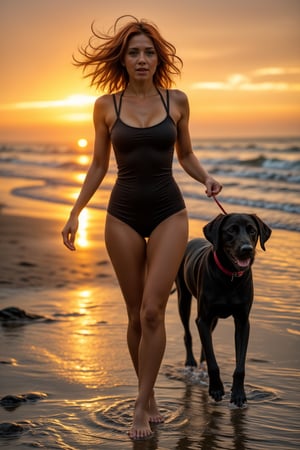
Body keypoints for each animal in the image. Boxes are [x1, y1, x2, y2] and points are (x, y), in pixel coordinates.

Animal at [176, 213, 272, 406]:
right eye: (231, 230)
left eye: (252, 230)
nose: (246, 249)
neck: (230, 277)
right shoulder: (203, 319)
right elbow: (213, 363)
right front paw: (216, 389)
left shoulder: (242, 322)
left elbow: (240, 365)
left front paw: (238, 393)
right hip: (183, 298)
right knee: (188, 332)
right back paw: (190, 362)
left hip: (214, 319)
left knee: (207, 341)